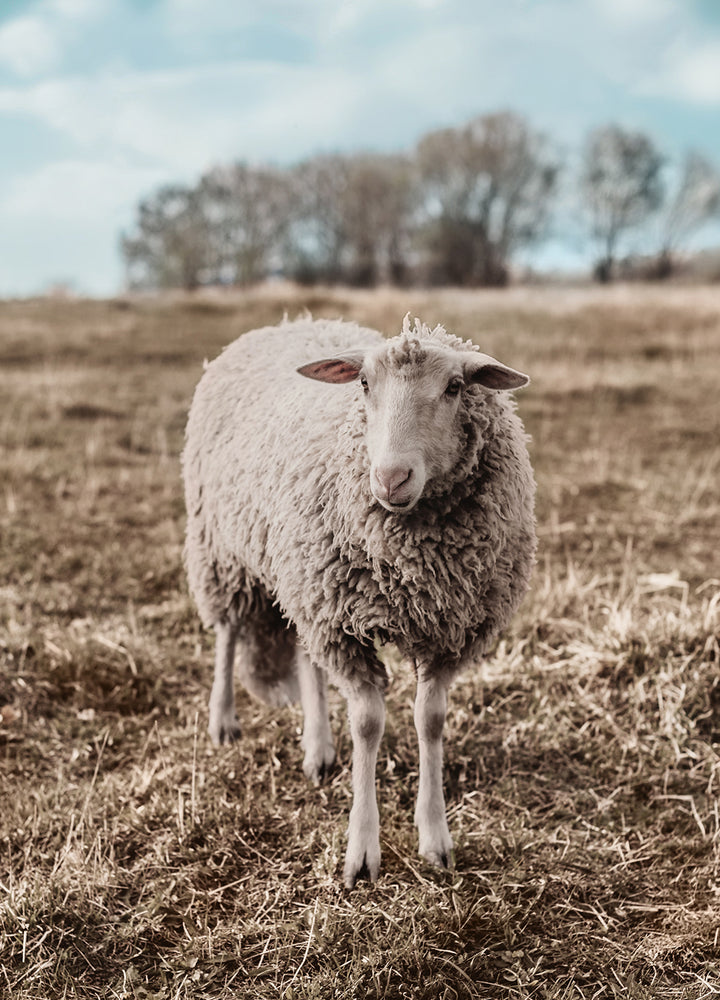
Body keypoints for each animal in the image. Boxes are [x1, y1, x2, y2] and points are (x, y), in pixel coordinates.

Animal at [182, 314, 536, 888]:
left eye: (455, 387)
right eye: (364, 383)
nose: (391, 478)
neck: (413, 563)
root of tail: (290, 321)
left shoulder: (445, 628)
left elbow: (430, 720)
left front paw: (435, 837)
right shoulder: (342, 623)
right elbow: (367, 724)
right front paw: (362, 850)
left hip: (304, 579)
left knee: (304, 653)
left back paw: (319, 748)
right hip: (223, 547)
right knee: (228, 631)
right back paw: (224, 720)